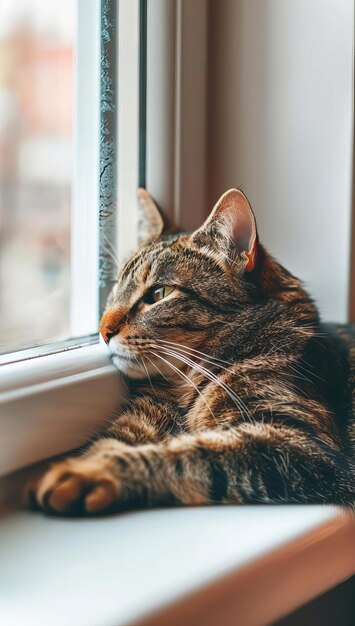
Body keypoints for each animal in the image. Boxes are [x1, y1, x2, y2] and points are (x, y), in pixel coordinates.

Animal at [29, 186, 355, 512]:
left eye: (159, 293)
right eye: (116, 287)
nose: (102, 329)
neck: (183, 385)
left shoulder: (303, 444)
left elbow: (189, 455)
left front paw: (93, 470)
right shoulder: (145, 412)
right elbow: (112, 439)